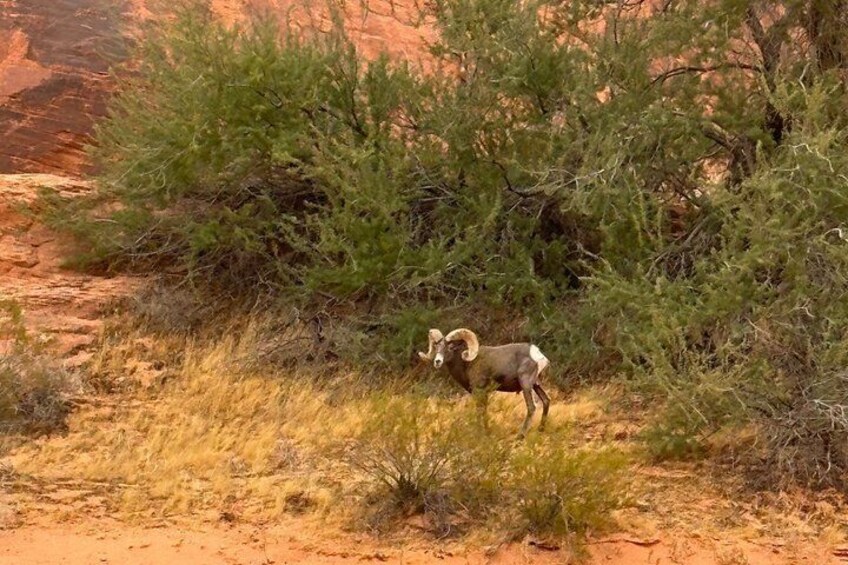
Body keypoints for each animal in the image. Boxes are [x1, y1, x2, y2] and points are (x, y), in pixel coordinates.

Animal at [418, 328, 551, 438]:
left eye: (450, 347)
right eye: (437, 347)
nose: (437, 361)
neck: (466, 364)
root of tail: (537, 354)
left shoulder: (479, 391)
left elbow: (480, 411)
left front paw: (479, 432)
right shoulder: (484, 393)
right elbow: (484, 411)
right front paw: (487, 431)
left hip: (526, 384)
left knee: (532, 407)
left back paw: (520, 436)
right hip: (536, 385)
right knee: (546, 400)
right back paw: (541, 430)